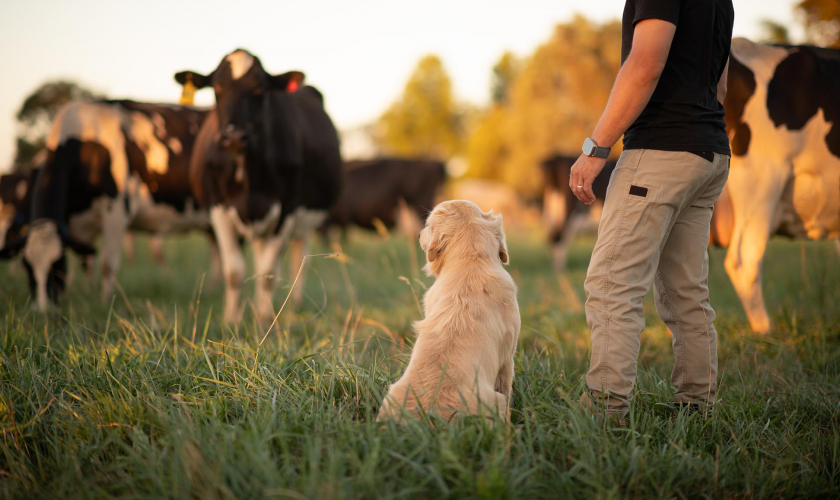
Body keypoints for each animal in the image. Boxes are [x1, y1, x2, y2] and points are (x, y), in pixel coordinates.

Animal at [22, 99, 209, 310]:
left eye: (57, 265)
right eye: (27, 267)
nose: (42, 309)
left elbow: (107, 264)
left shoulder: (116, 211)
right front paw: (90, 296)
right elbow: (87, 262)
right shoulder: (80, 223)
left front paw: (104, 303)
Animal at [176, 50, 342, 322]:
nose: (234, 137)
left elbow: (267, 273)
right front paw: (231, 320)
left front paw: (264, 318)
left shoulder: (287, 210)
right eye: (218, 86)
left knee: (298, 259)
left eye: (261, 88)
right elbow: (234, 272)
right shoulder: (218, 208)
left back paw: (294, 304)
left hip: (303, 224)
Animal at [378, 199, 520, 422]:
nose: (418, 234)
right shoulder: (507, 358)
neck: (471, 261)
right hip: (495, 400)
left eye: (427, 225)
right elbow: (507, 390)